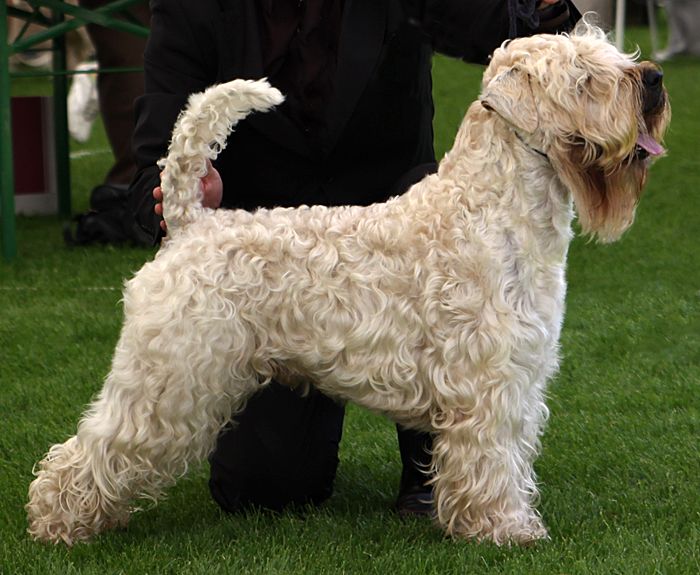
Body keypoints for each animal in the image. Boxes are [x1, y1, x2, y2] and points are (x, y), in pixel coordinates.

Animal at [27, 22, 668, 548]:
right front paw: (506, 529)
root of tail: (189, 223)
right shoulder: (491, 383)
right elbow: (493, 460)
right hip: (171, 379)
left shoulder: (519, 378)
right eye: (583, 77)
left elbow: (508, 456)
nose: (655, 80)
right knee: (92, 449)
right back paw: (57, 525)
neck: (490, 210)